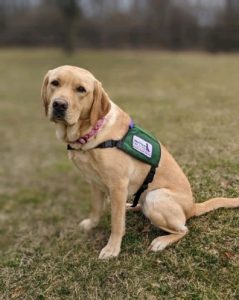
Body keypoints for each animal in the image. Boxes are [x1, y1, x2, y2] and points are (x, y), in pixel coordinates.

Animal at [42, 67, 239, 258]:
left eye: (81, 89)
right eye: (55, 83)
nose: (59, 104)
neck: (91, 133)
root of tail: (192, 207)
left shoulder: (118, 185)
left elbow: (116, 224)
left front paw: (112, 249)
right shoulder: (95, 183)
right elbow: (96, 209)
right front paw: (91, 224)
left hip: (155, 197)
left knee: (183, 229)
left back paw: (161, 241)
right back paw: (131, 206)